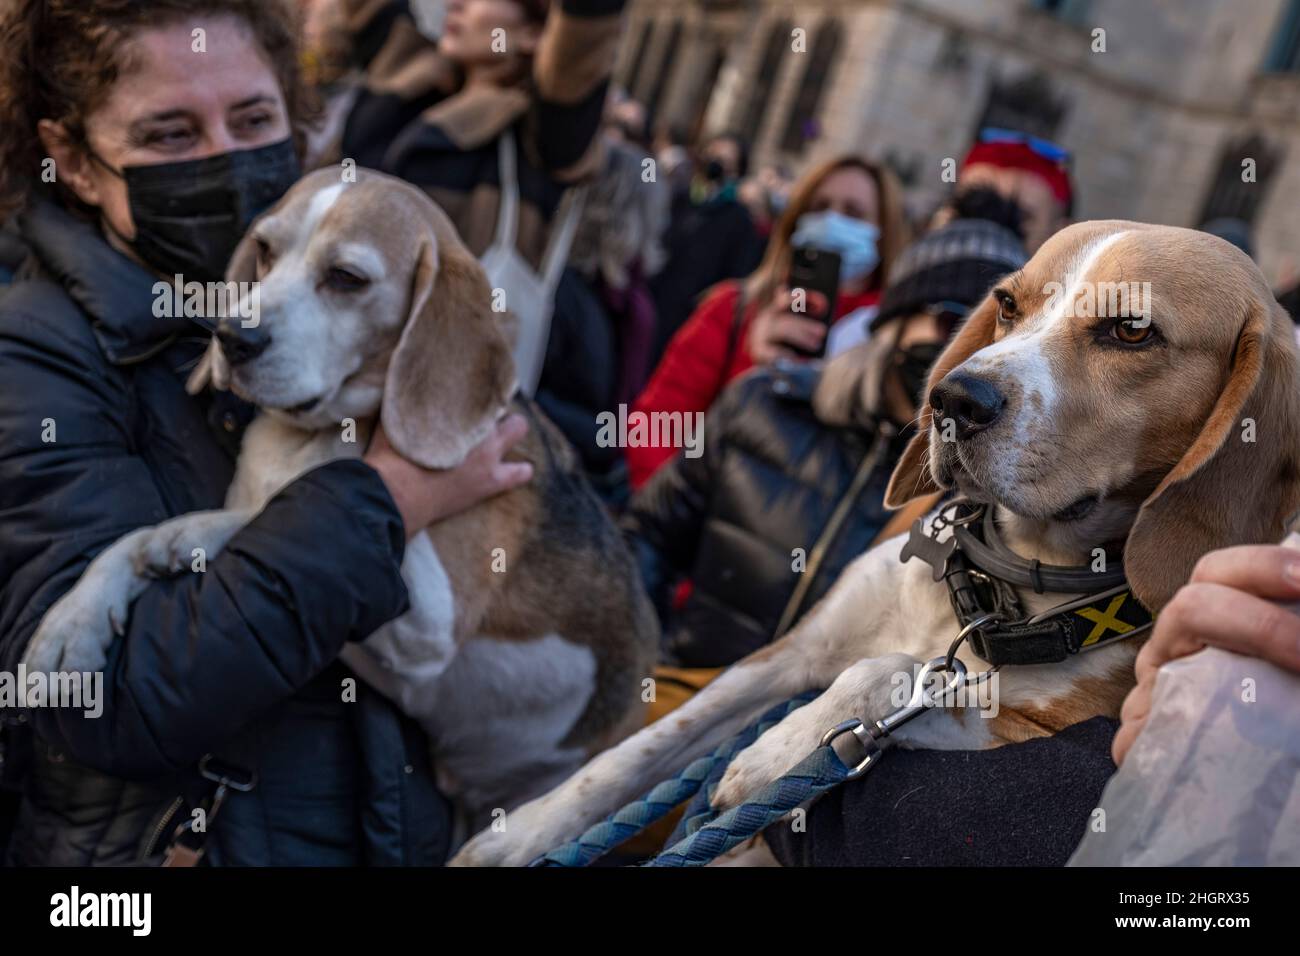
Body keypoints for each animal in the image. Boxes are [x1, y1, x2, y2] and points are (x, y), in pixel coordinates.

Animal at [25, 167, 660, 816]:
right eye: (265, 250)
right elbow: (127, 542)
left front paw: (188, 535)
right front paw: (69, 626)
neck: (320, 433)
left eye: (346, 278)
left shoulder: (427, 627)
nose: (232, 338)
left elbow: (263, 514)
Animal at [452, 221, 1300, 863]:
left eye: (1131, 331)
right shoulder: (793, 653)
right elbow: (639, 751)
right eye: (1008, 304)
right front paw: (520, 835)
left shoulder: (1027, 730)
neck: (994, 590)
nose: (954, 398)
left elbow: (889, 673)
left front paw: (775, 753)